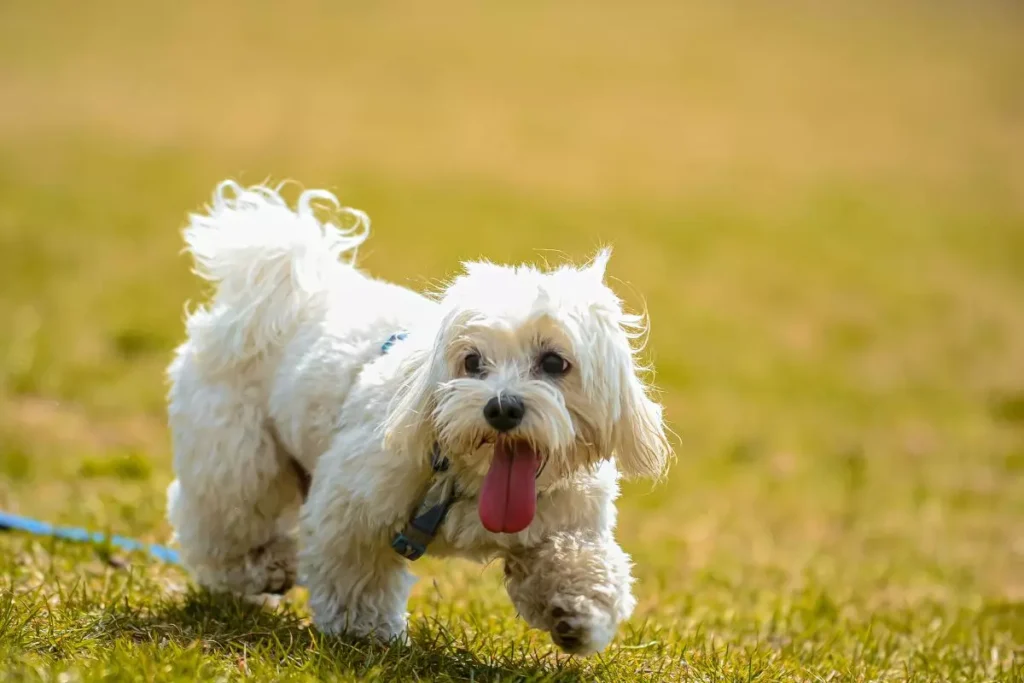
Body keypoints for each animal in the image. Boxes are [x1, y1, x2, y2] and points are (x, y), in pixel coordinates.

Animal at [165, 181, 671, 655]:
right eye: (471, 361)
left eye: (553, 362)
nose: (501, 407)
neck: (468, 479)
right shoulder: (351, 505)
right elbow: (356, 573)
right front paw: (362, 631)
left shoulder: (568, 519)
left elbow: (580, 561)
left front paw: (578, 611)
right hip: (236, 452)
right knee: (222, 519)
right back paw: (264, 566)